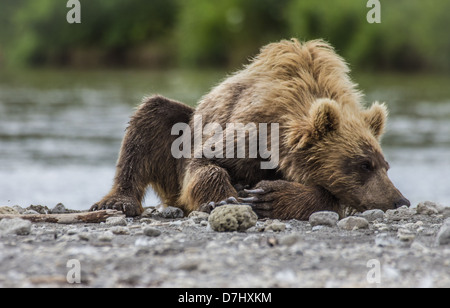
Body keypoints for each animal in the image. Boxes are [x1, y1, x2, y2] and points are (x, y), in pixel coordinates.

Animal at [90, 38, 408, 220]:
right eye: (364, 164)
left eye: (385, 165)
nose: (399, 200)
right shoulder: (250, 131)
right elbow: (205, 162)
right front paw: (224, 198)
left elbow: (329, 195)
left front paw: (270, 197)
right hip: (181, 130)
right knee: (149, 118)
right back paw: (118, 202)